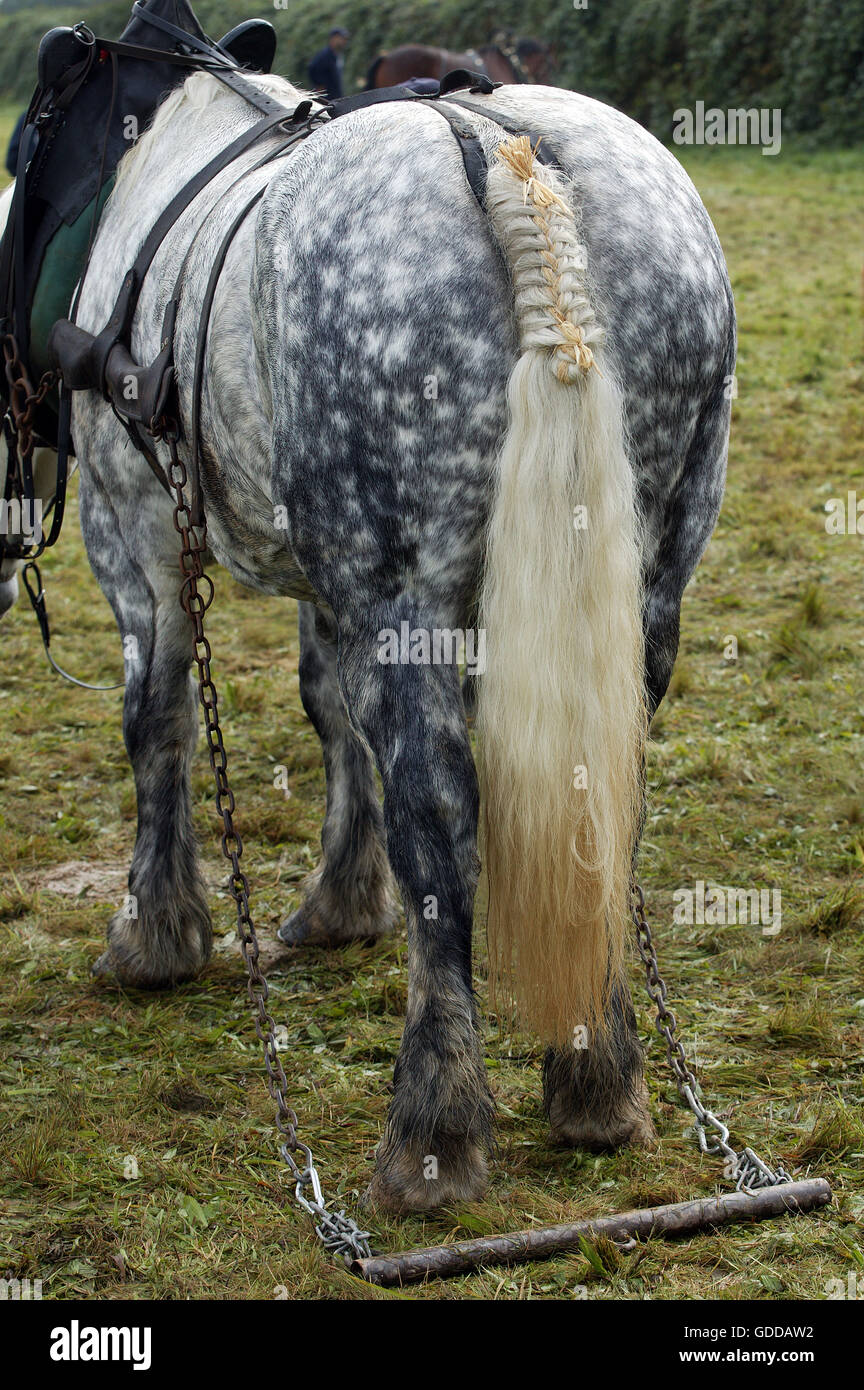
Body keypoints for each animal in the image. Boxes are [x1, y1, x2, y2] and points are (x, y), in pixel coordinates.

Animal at [40, 70, 733, 1213]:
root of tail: (506, 155)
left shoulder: (131, 529)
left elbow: (158, 719)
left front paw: (155, 933)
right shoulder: (328, 581)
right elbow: (327, 713)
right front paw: (340, 898)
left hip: (400, 587)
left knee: (439, 818)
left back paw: (434, 1129)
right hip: (649, 580)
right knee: (609, 794)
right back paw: (597, 1081)